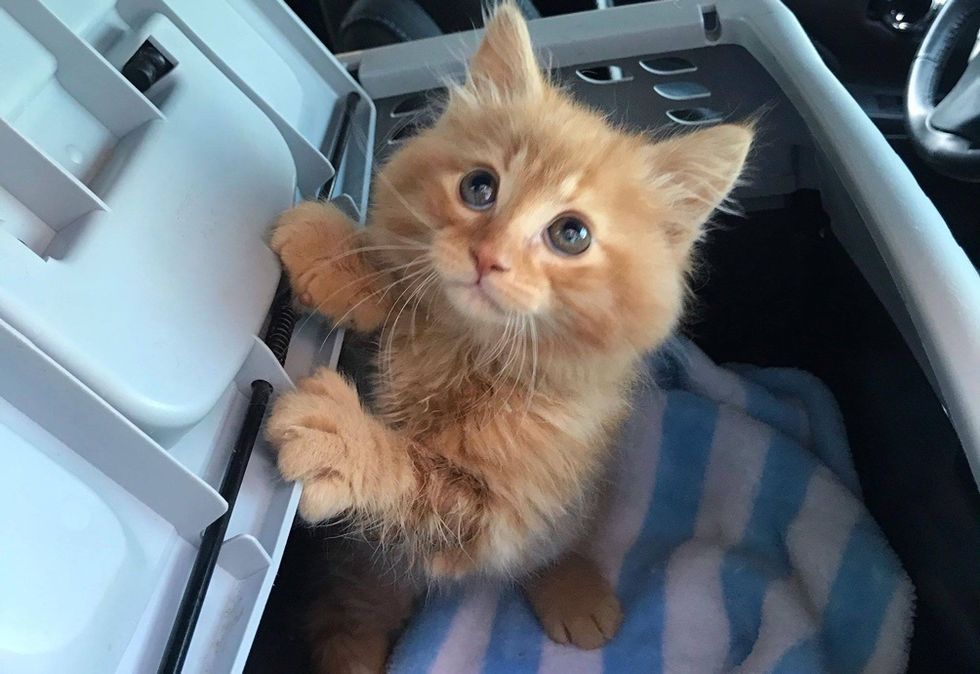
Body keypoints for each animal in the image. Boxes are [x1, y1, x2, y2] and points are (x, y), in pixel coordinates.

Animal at [264, 3, 756, 668]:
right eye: (479, 187)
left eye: (571, 234)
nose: (487, 257)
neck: (466, 349)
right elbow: (396, 290)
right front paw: (338, 252)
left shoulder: (491, 517)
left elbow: (415, 473)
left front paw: (343, 439)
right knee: (349, 610)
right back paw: (355, 653)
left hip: (571, 505)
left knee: (554, 548)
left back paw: (576, 595)